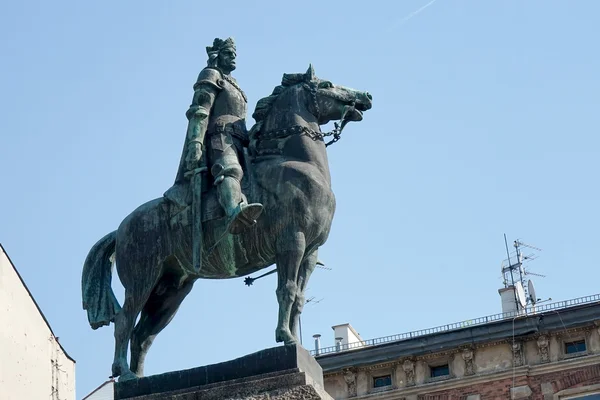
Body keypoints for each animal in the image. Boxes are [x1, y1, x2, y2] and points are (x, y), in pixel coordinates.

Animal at [79, 64, 370, 380]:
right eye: (327, 84)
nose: (365, 96)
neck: (295, 162)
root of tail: (121, 229)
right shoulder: (292, 241)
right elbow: (287, 290)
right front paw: (285, 337)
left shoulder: (311, 251)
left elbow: (299, 299)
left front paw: (295, 342)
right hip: (142, 279)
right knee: (124, 321)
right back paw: (126, 374)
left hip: (171, 289)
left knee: (143, 334)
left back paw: (141, 378)